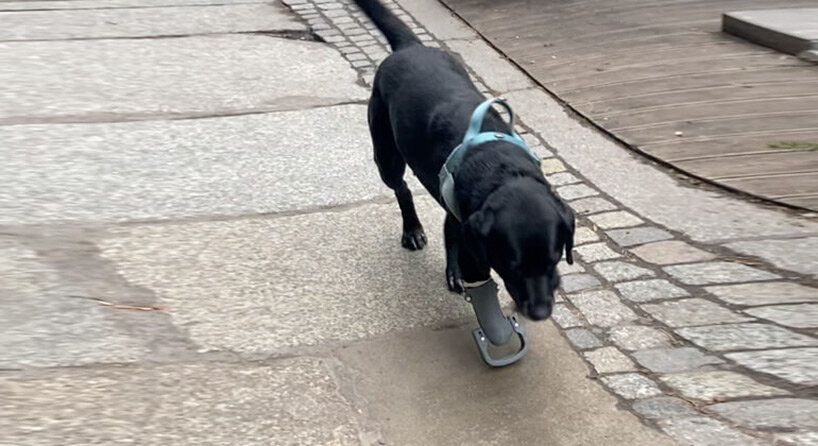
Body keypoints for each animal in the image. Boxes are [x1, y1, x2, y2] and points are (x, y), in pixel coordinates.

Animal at [352, 0, 572, 320]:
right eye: (511, 265)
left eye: (554, 259)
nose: (540, 312)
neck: (503, 172)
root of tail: (410, 47)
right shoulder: (470, 238)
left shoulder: (461, 217)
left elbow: (453, 234)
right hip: (386, 156)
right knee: (402, 188)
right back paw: (412, 230)